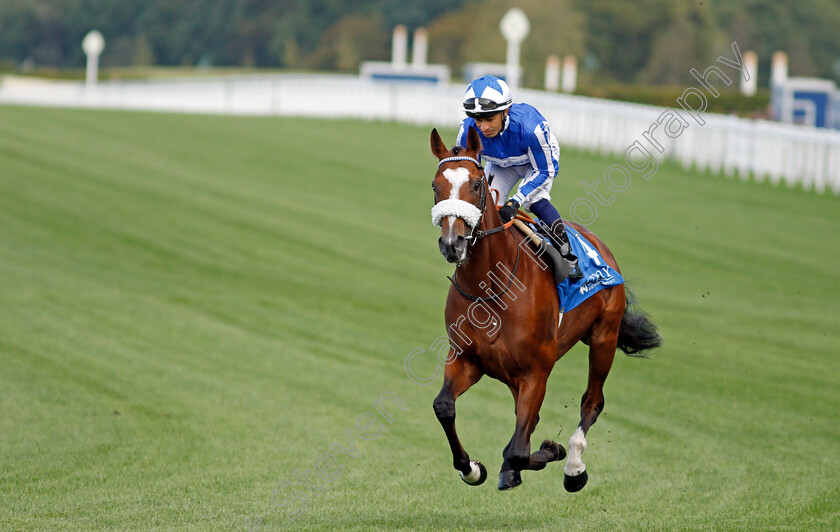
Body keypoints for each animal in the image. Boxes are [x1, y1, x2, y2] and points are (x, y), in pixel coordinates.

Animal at [430, 127, 660, 492]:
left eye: (477, 185)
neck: (491, 287)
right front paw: (472, 468)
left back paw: (574, 467)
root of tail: (601, 246)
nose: (453, 243)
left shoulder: (536, 370)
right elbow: (445, 407)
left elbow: (518, 451)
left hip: (604, 338)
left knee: (592, 401)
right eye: (436, 186)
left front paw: (551, 454)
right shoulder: (467, 360)